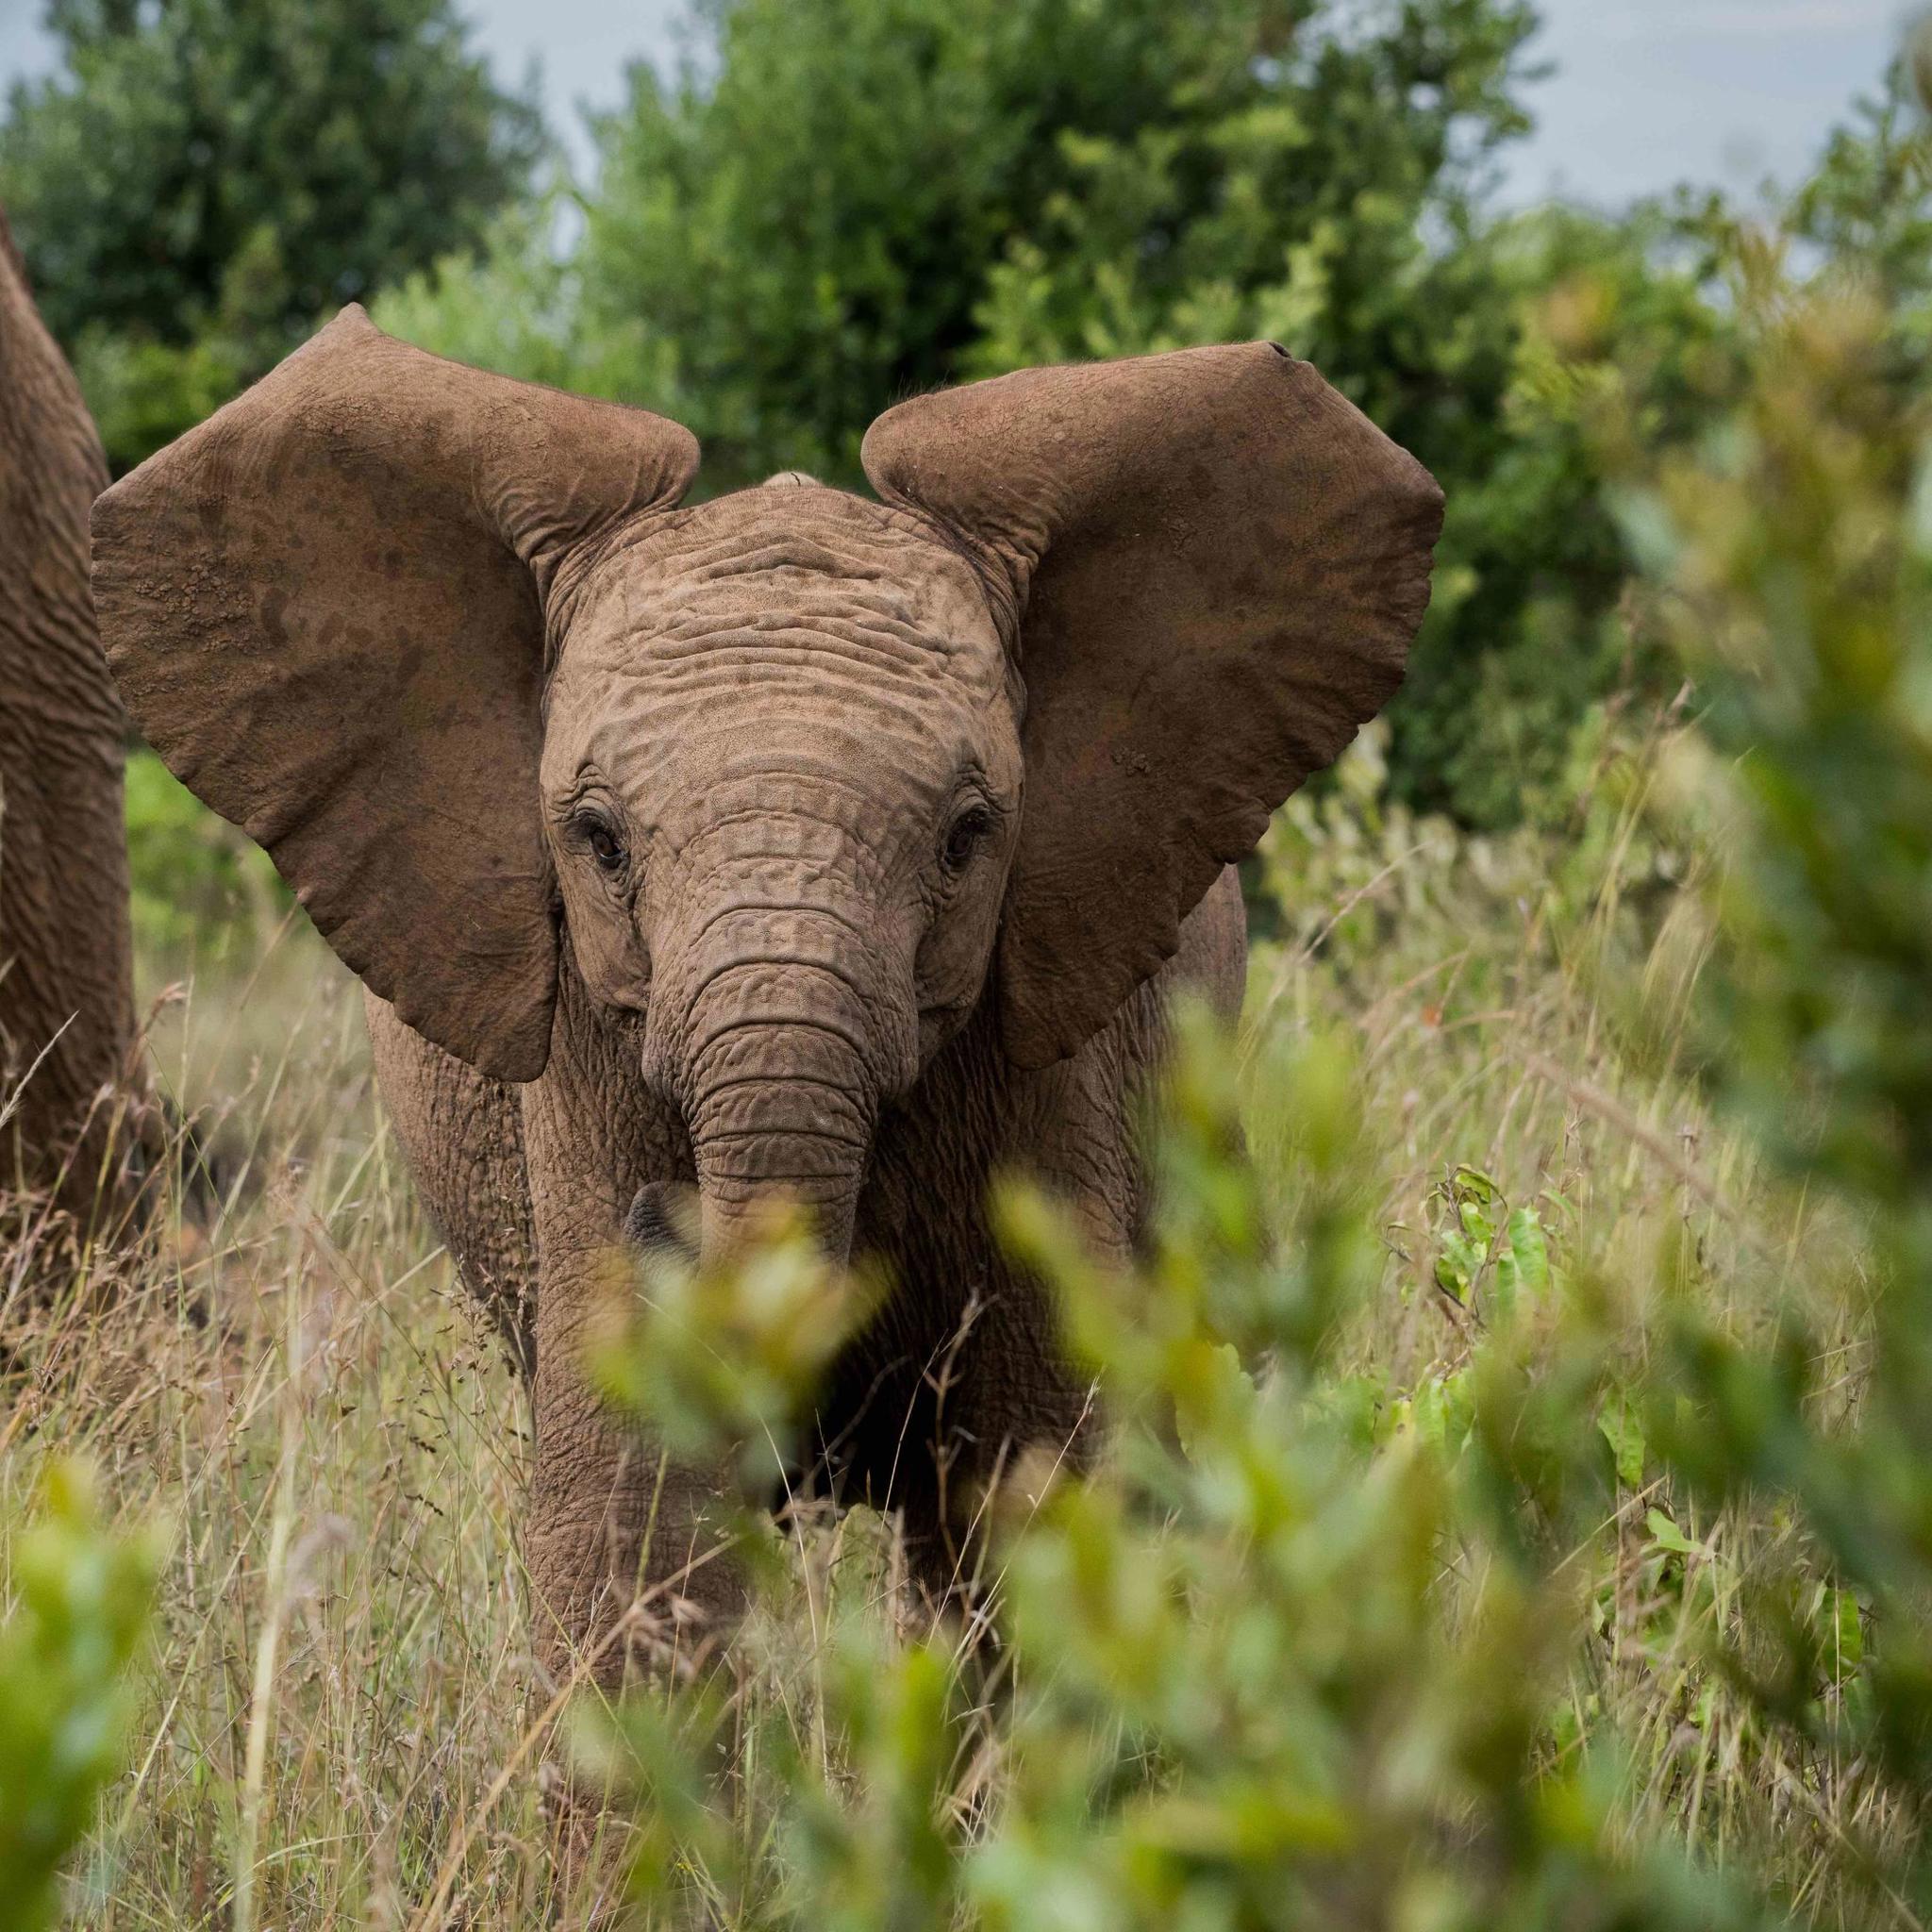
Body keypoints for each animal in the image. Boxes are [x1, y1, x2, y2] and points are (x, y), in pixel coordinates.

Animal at [92, 308, 1440, 1685]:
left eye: (968, 837)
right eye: (597, 841)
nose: (670, 1219)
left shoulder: (1064, 1050)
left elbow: (1036, 1481)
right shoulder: (586, 1047)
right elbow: (627, 1520)